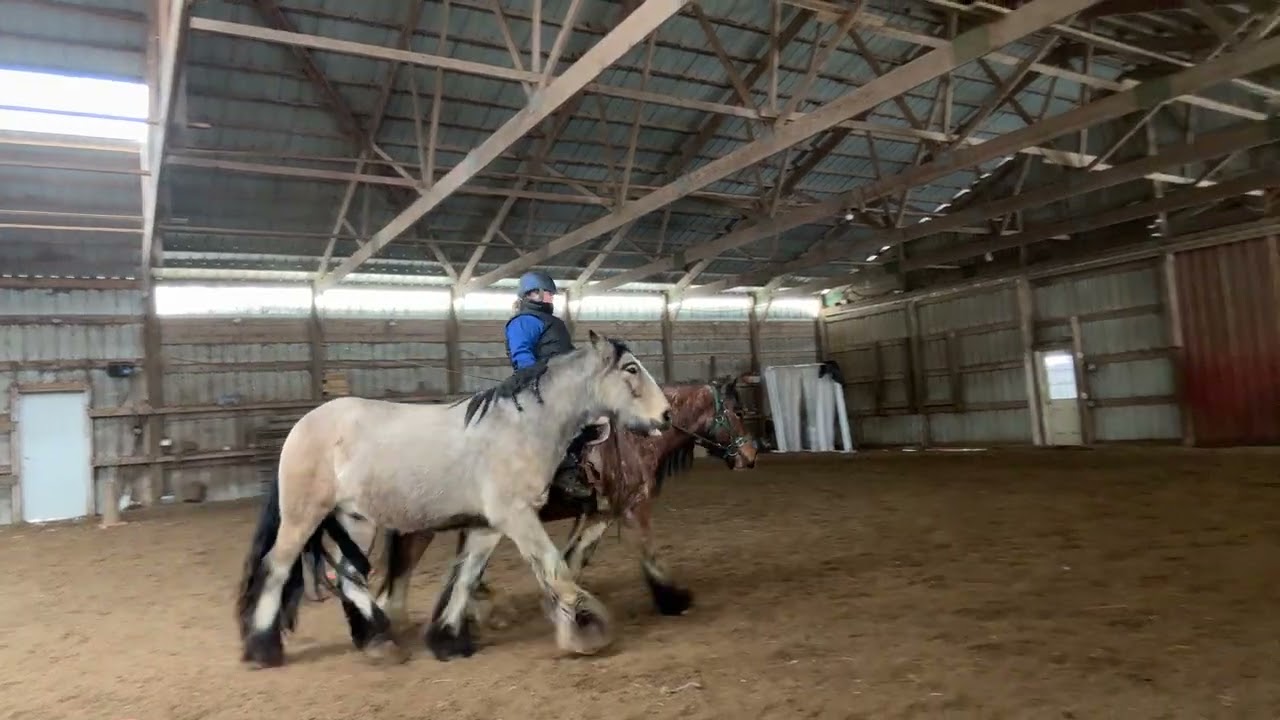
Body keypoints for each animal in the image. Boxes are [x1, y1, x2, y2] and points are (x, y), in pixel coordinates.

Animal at [234, 331, 672, 668]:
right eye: (631, 368)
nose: (666, 415)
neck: (520, 427)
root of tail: (302, 425)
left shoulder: (487, 525)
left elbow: (465, 578)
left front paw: (447, 639)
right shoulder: (517, 517)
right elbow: (554, 568)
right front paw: (588, 630)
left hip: (355, 520)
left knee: (348, 576)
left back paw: (378, 640)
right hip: (303, 516)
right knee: (276, 568)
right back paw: (263, 648)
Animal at [371, 376, 761, 660]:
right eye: (738, 412)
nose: (751, 454)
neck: (634, 441)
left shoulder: (599, 513)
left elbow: (573, 560)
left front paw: (569, 613)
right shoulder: (633, 506)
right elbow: (647, 551)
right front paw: (672, 600)